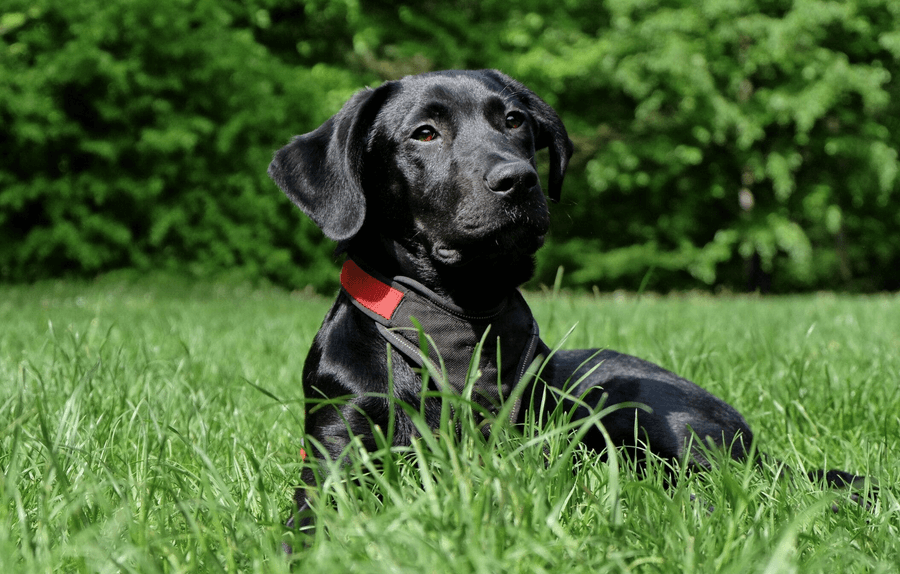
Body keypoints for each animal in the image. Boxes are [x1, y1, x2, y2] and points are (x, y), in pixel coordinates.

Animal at [268, 68, 872, 536]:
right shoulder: (336, 445)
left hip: (640, 409)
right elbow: (314, 517)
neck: (457, 319)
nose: (518, 179)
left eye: (514, 121)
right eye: (424, 133)